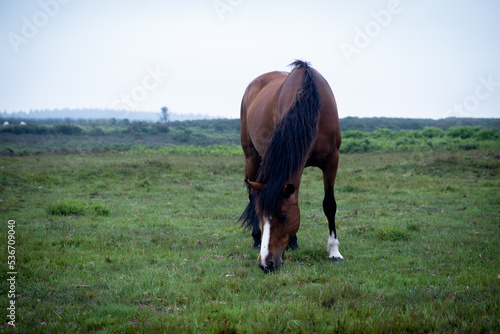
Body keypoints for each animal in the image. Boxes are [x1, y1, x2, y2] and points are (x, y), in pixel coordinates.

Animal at [239, 60, 344, 274]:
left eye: (284, 216)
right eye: (262, 216)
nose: (266, 264)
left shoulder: (332, 160)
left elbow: (329, 204)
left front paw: (334, 252)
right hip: (252, 156)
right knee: (252, 195)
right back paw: (257, 239)